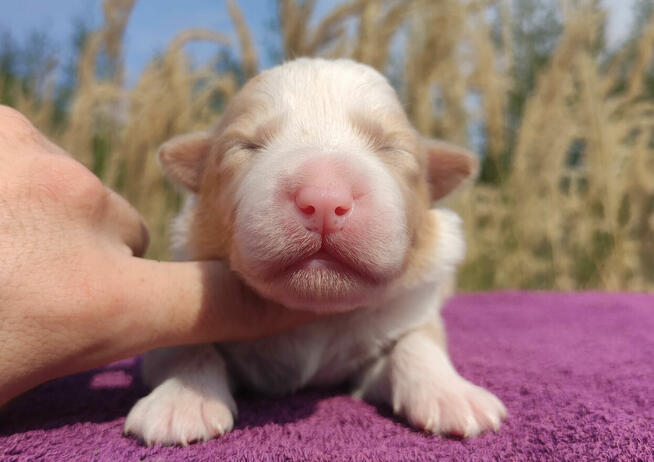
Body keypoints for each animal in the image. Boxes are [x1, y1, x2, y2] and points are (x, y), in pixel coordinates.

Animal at [125, 56, 510, 444]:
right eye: (244, 146)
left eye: (392, 148)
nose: (324, 199)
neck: (319, 313)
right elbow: (189, 349)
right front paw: (181, 401)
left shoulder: (406, 314)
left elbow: (417, 341)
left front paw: (453, 396)